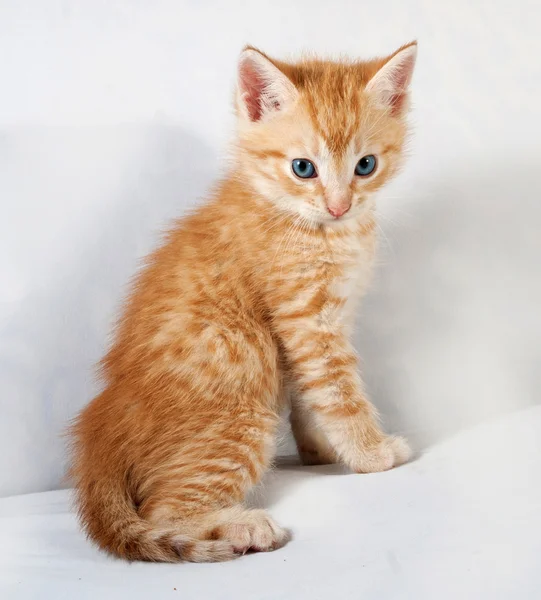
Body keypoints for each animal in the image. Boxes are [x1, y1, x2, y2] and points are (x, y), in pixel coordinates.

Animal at [69, 42, 418, 564]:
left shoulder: (307, 331)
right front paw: (370, 452)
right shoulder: (307, 319)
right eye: (303, 168)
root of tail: (99, 428)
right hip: (242, 408)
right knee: (162, 511)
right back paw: (242, 526)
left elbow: (309, 392)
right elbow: (338, 390)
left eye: (366, 165)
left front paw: (321, 450)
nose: (339, 206)